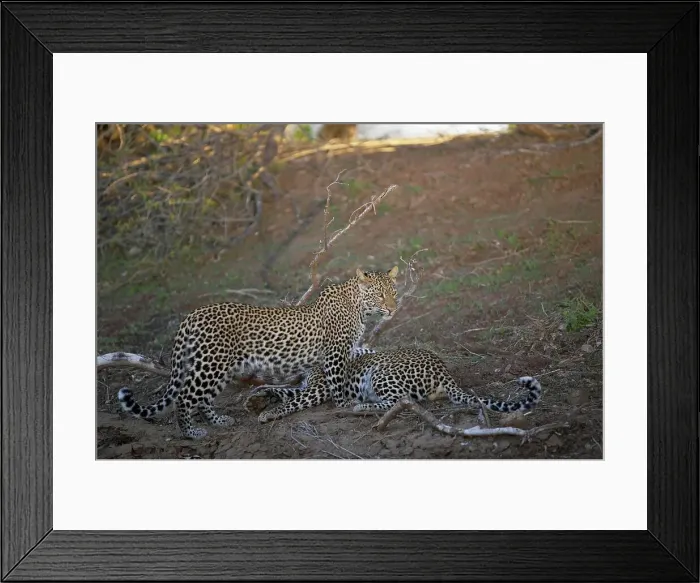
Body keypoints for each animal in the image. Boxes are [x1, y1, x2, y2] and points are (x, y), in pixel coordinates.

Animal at [117, 266, 399, 439]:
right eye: (379, 295)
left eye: (393, 292)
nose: (393, 309)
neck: (359, 307)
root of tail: (193, 315)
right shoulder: (335, 353)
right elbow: (337, 382)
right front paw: (343, 404)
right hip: (211, 364)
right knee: (185, 397)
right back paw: (192, 433)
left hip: (219, 366)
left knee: (203, 399)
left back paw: (218, 421)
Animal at [244, 346, 542, 423]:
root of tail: (444, 369)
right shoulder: (308, 386)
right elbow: (283, 391)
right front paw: (256, 398)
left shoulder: (317, 390)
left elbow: (292, 400)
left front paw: (268, 412)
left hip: (380, 373)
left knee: (400, 401)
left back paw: (360, 406)